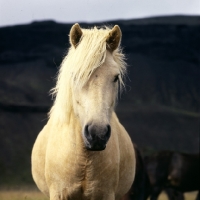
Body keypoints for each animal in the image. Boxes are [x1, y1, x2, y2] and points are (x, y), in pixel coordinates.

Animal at [31, 22, 136, 199]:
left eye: (115, 77)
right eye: (75, 76)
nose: (97, 134)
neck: (84, 158)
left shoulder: (105, 194)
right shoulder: (59, 193)